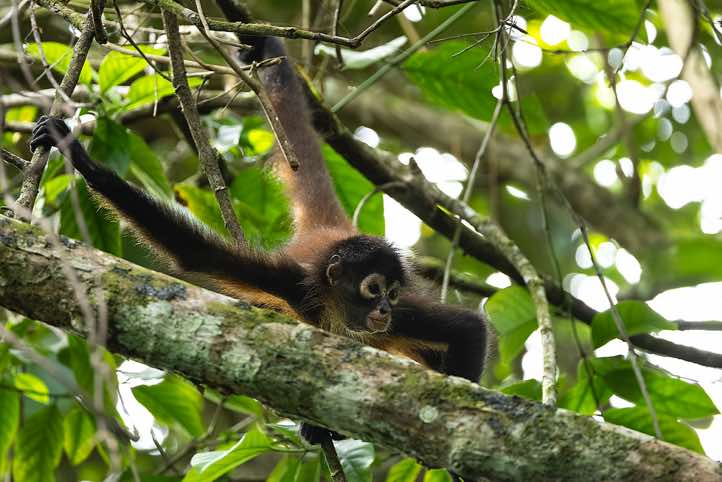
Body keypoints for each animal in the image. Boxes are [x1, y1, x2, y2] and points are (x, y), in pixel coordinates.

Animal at [29, 0, 487, 446]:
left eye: (392, 292)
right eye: (373, 290)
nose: (385, 308)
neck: (339, 314)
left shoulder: (402, 315)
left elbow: (471, 328)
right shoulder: (293, 284)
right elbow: (196, 254)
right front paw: (82, 160)